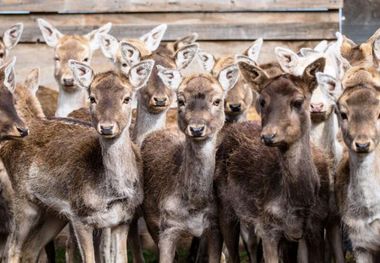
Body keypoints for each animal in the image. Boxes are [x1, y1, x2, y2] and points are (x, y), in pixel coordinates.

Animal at [0, 58, 154, 262]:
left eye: (127, 98)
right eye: (92, 98)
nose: (106, 127)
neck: (112, 194)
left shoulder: (123, 219)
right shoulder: (80, 216)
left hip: (53, 212)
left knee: (30, 249)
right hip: (23, 200)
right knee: (11, 249)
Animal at [141, 63, 239, 262]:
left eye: (217, 101)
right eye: (181, 100)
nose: (197, 128)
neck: (194, 205)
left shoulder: (214, 226)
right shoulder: (167, 226)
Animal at [214, 58, 332, 263]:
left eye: (298, 101)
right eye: (262, 101)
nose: (268, 135)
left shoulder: (316, 225)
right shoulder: (267, 226)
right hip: (223, 203)